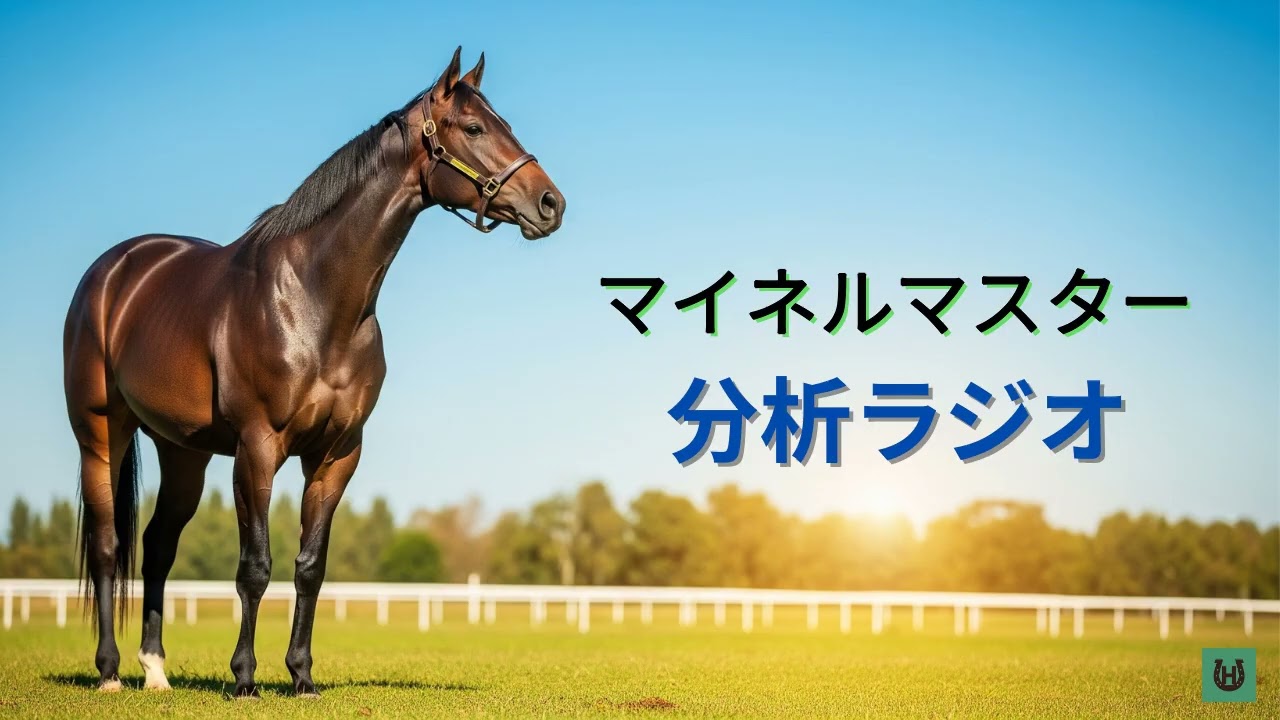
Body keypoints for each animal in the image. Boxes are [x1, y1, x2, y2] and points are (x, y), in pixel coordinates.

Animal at [62, 47, 564, 698]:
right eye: (475, 128)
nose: (550, 203)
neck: (315, 299)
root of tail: (113, 271)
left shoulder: (336, 455)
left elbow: (310, 567)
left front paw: (300, 675)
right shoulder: (257, 449)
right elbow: (255, 568)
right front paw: (245, 678)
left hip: (184, 453)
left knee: (156, 547)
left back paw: (155, 670)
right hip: (101, 434)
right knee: (107, 547)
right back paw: (109, 672)